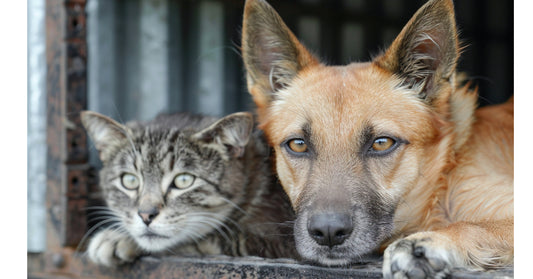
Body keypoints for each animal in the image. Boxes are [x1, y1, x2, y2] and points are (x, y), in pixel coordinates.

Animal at [80, 111, 296, 266]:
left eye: (183, 180)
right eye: (129, 180)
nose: (146, 215)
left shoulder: (281, 243)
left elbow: (203, 241)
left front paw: (117, 238)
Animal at [240, 0, 512, 276]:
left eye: (382, 143)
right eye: (298, 144)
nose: (328, 232)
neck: (443, 179)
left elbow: (470, 225)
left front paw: (427, 243)